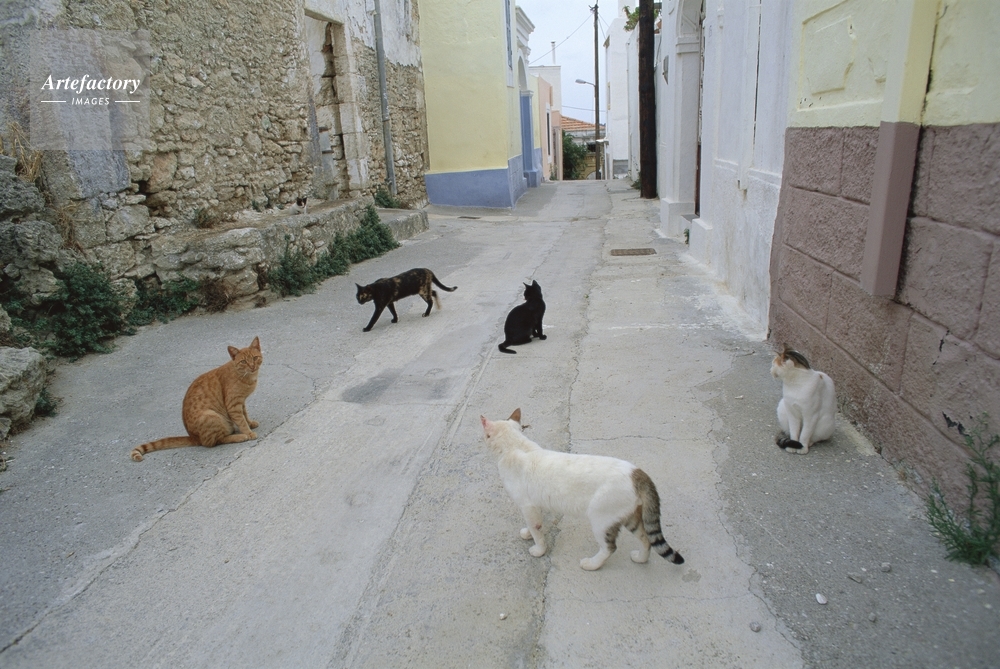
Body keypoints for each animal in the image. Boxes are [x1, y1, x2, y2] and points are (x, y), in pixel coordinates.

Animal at [130, 337, 262, 461]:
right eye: (243, 361)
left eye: (255, 358)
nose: (252, 366)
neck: (245, 376)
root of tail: (193, 437)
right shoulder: (233, 405)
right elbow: (241, 420)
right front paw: (248, 432)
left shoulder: (241, 402)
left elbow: (245, 415)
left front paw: (250, 423)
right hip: (211, 416)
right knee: (215, 441)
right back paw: (239, 436)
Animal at [480, 408, 685, 571]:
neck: (515, 446)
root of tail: (638, 473)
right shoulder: (535, 504)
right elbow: (536, 524)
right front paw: (529, 533)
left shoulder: (527, 506)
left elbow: (537, 530)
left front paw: (539, 549)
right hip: (629, 518)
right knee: (646, 539)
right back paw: (640, 558)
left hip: (600, 519)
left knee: (610, 548)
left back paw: (592, 564)